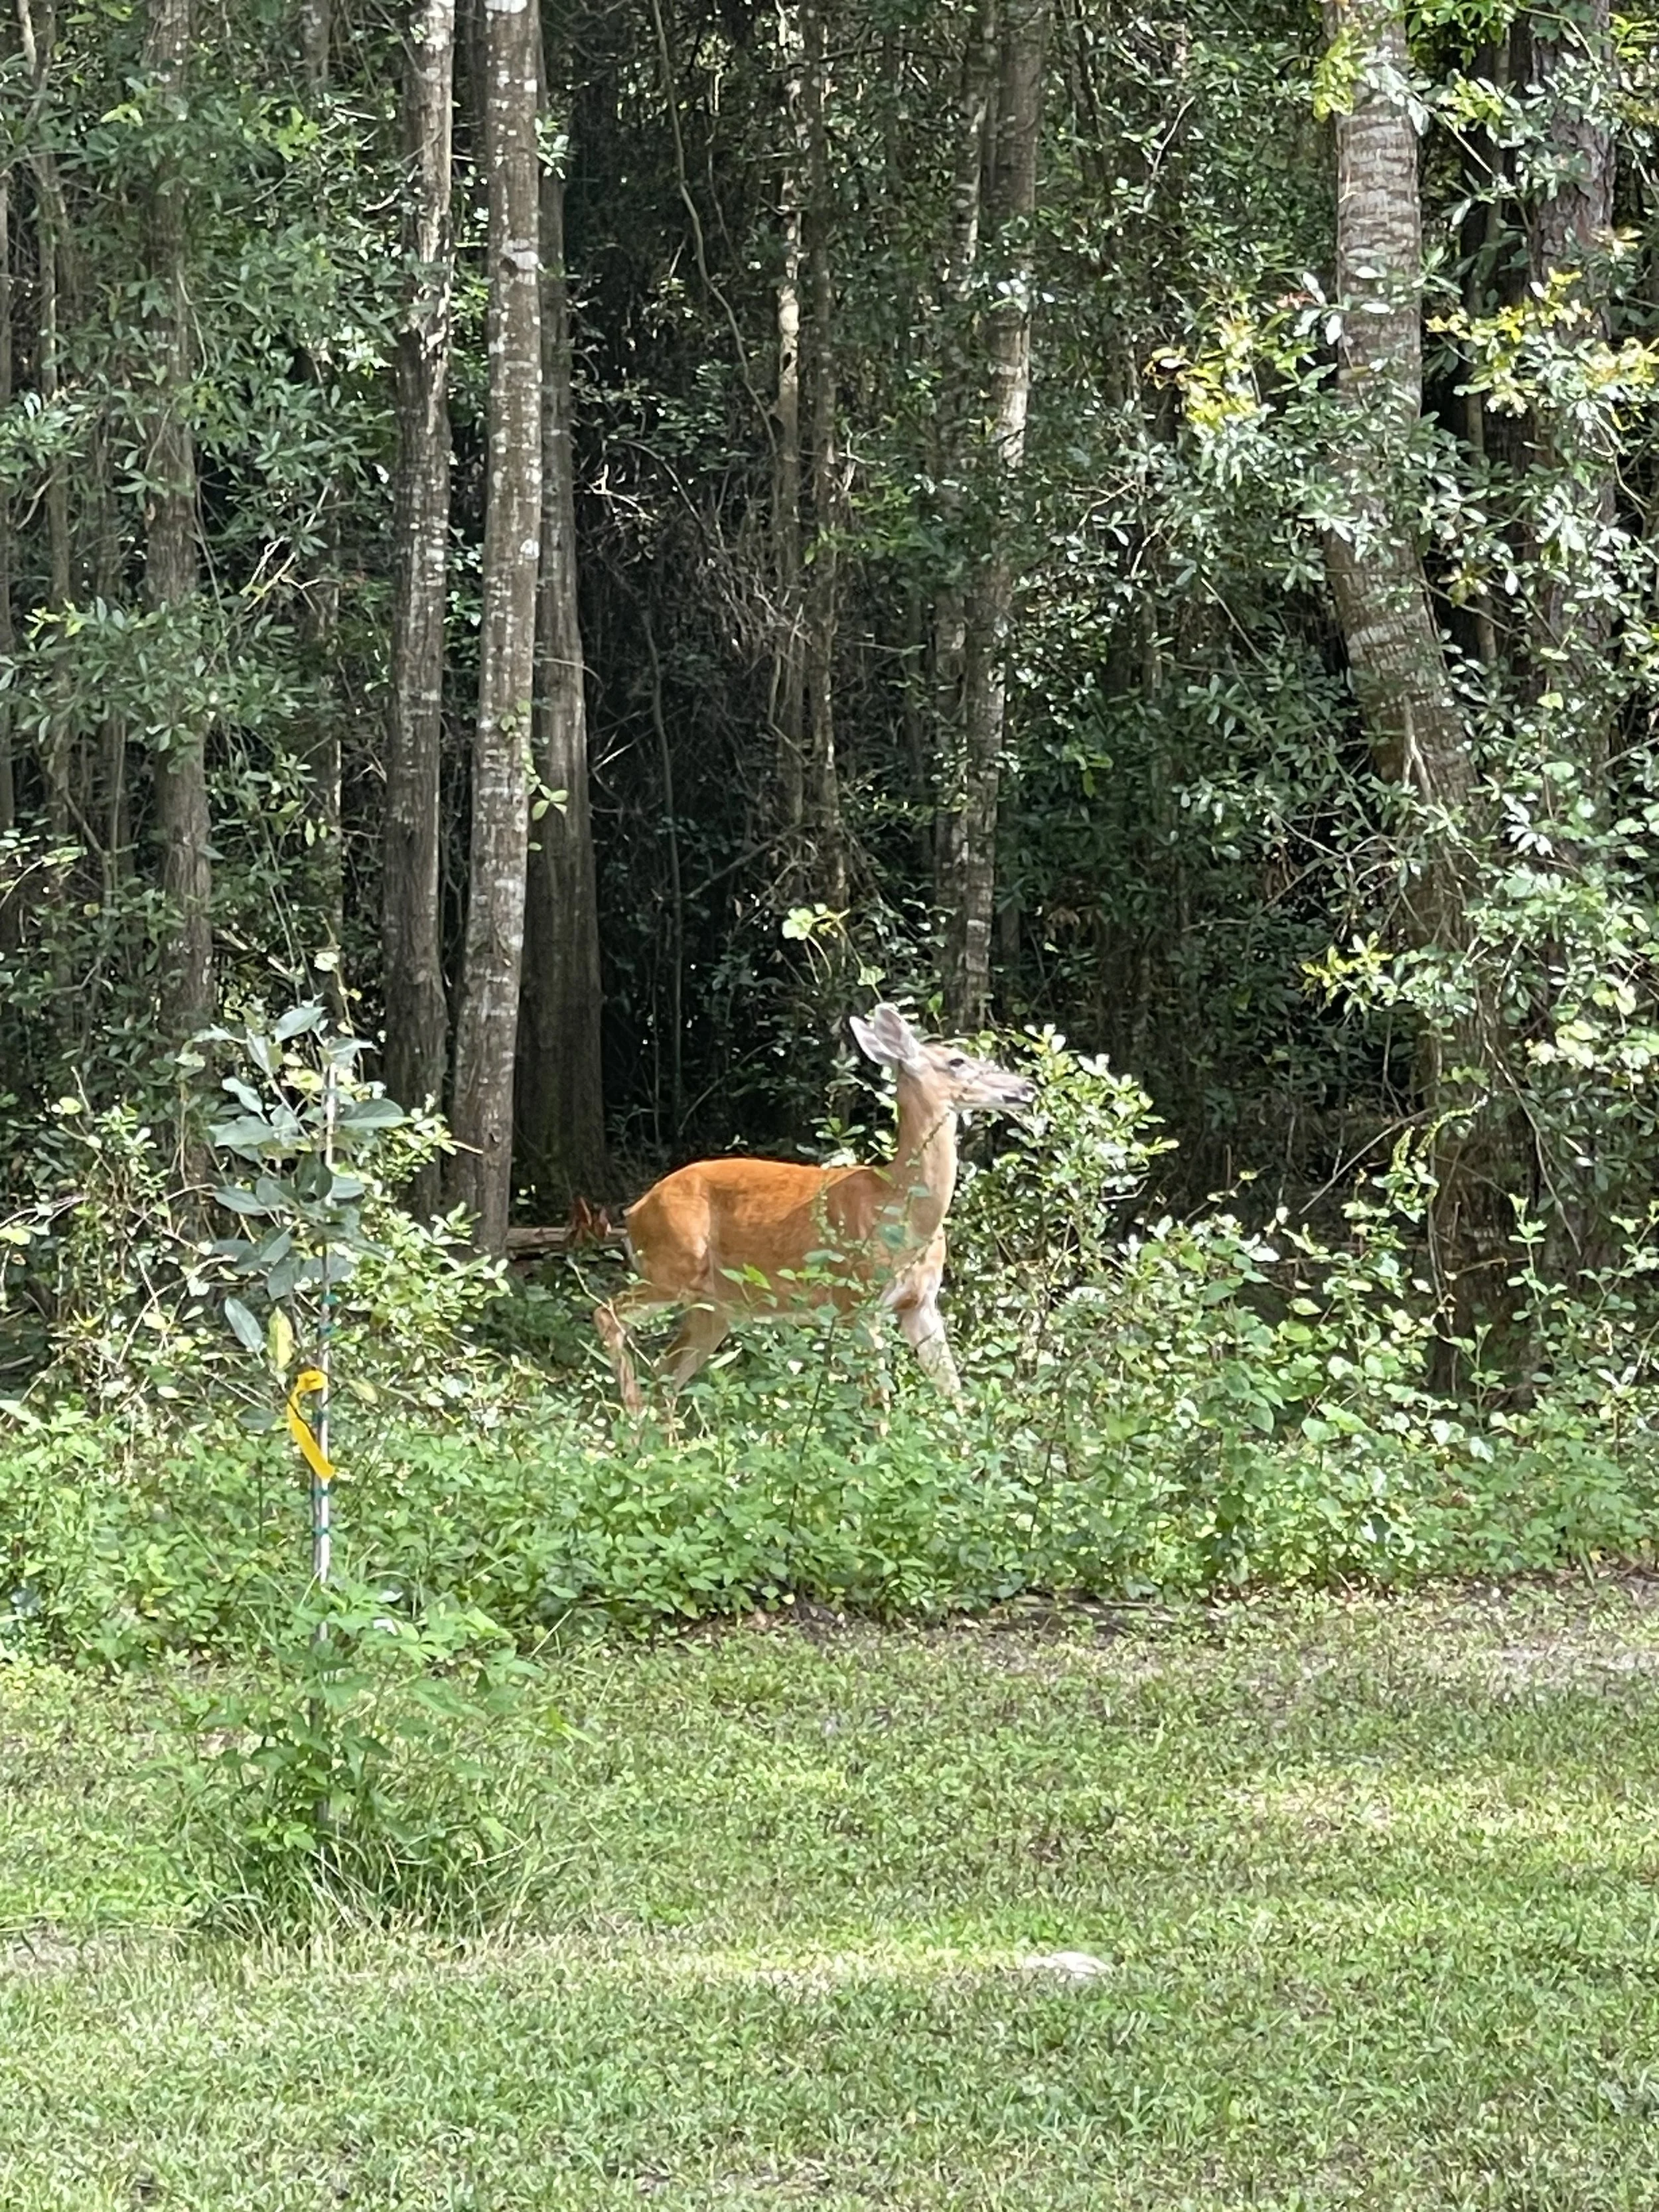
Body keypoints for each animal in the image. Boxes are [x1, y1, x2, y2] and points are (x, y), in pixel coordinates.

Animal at [594, 1003, 1034, 1411]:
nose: (1026, 1087)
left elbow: (954, 1392)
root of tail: (635, 1212)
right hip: (673, 1265)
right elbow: (879, 1403)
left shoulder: (920, 1302)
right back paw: (633, 1420)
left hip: (714, 1305)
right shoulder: (855, 1300)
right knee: (609, 1316)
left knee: (666, 1374)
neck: (900, 1208)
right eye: (957, 1061)